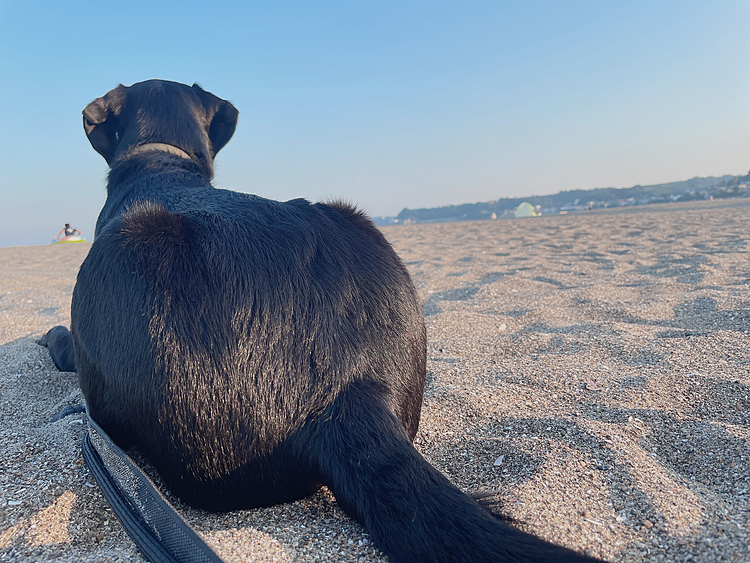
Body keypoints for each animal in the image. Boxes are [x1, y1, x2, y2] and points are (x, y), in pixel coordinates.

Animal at [47, 80, 604, 563]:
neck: (160, 161)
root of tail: (347, 393)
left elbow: (64, 342)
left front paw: (51, 338)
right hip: (355, 222)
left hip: (111, 270)